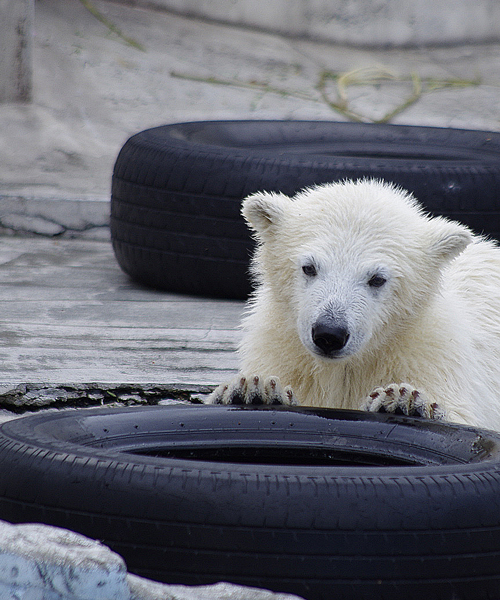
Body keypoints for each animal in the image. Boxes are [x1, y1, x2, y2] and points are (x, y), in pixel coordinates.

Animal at [210, 178, 500, 432]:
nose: (329, 334)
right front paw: (251, 390)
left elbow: (462, 415)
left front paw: (404, 402)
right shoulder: (280, 350)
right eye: (309, 267)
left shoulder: (431, 355)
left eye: (377, 278)